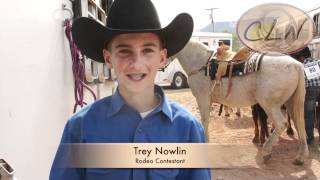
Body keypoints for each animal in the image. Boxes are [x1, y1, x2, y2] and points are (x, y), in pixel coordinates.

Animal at [174, 40, 308, 165]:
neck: (201, 63)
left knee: (281, 124)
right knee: (299, 124)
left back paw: (266, 152)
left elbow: (205, 121)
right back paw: (300, 157)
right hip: (290, 103)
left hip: (270, 105)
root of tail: (297, 65)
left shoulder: (202, 98)